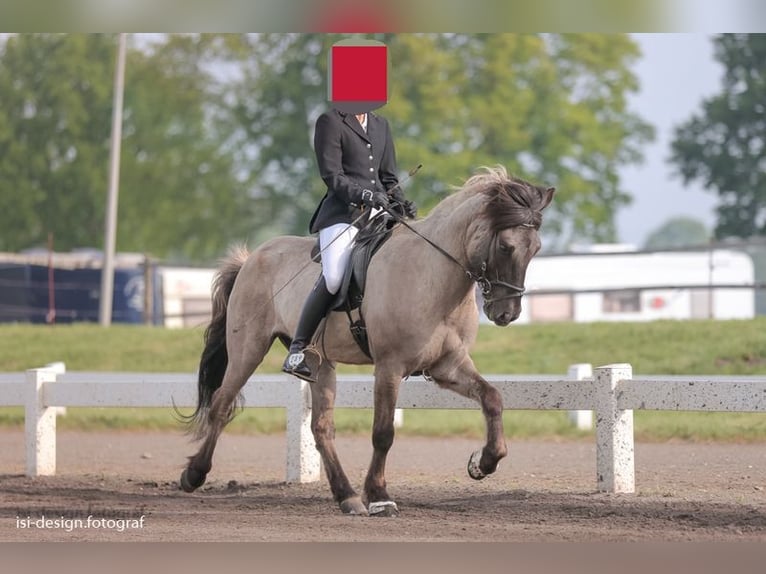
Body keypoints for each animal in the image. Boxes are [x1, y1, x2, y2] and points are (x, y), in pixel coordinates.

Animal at [182, 165, 552, 516]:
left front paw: (482, 463)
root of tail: (251, 258)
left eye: (536, 249)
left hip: (320, 363)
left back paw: (347, 497)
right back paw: (194, 475)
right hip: (249, 349)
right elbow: (383, 433)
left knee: (321, 428)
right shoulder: (389, 367)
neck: (431, 274)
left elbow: (493, 398)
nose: (507, 313)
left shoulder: (447, 366)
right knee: (221, 405)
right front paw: (379, 496)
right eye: (505, 246)